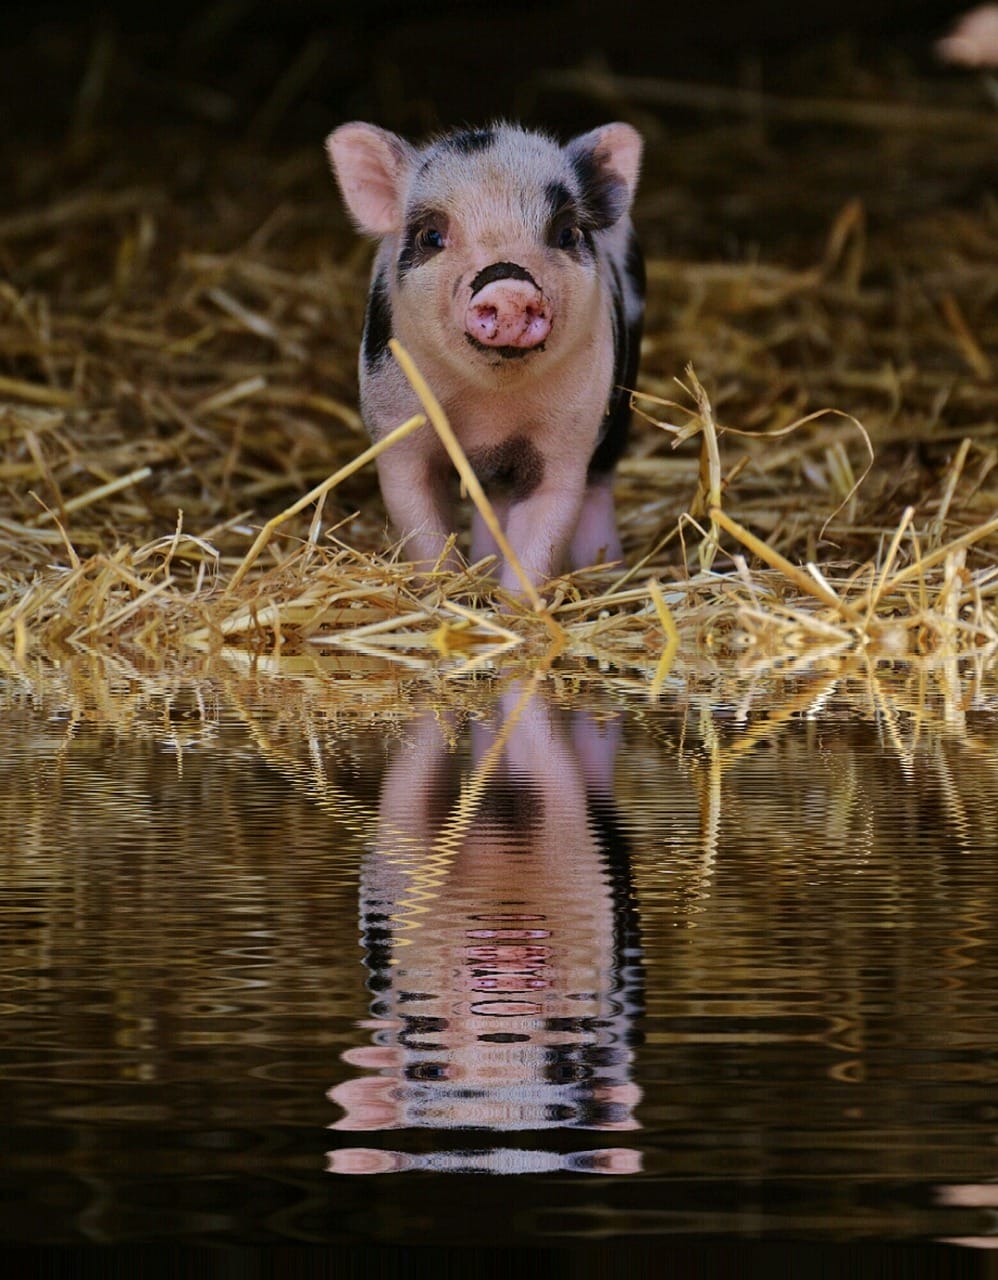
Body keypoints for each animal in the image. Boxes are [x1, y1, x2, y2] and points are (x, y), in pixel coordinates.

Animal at [325, 119, 645, 594]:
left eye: (566, 233)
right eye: (431, 236)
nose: (509, 287)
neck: (489, 410)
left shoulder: (566, 439)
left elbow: (544, 531)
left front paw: (514, 606)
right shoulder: (397, 429)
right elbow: (420, 525)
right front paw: (444, 593)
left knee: (599, 483)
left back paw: (606, 572)